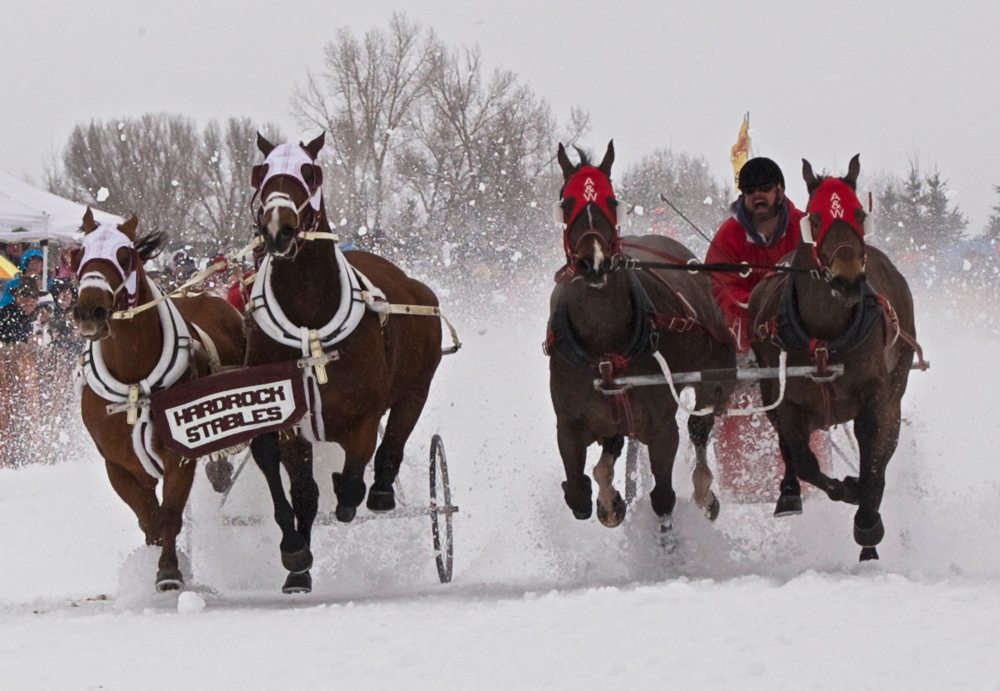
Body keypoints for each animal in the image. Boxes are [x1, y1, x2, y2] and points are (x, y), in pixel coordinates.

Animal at [73, 209, 246, 590]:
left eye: (124, 256)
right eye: (77, 254)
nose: (89, 310)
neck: (134, 382)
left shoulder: (178, 455)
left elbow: (168, 514)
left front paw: (168, 571)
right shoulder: (118, 465)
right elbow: (148, 518)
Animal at [245, 132, 446, 593]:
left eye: (310, 172)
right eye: (261, 172)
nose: (278, 229)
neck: (310, 326)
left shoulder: (364, 415)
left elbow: (353, 478)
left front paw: (353, 494)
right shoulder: (288, 417)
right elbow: (300, 490)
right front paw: (297, 559)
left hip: (418, 384)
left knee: (397, 434)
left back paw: (383, 490)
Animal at [546, 141, 737, 534]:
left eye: (611, 199)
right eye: (566, 201)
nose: (594, 262)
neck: (604, 345)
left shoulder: (661, 425)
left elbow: (663, 494)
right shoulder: (569, 424)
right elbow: (578, 492)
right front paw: (609, 500)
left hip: (716, 367)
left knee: (700, 425)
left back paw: (704, 492)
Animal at [747, 155, 921, 560]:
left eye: (858, 212)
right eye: (814, 217)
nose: (847, 279)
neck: (825, 335)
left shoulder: (876, 394)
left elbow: (873, 451)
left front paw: (868, 522)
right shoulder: (786, 399)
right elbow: (802, 458)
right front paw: (843, 488)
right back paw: (792, 492)